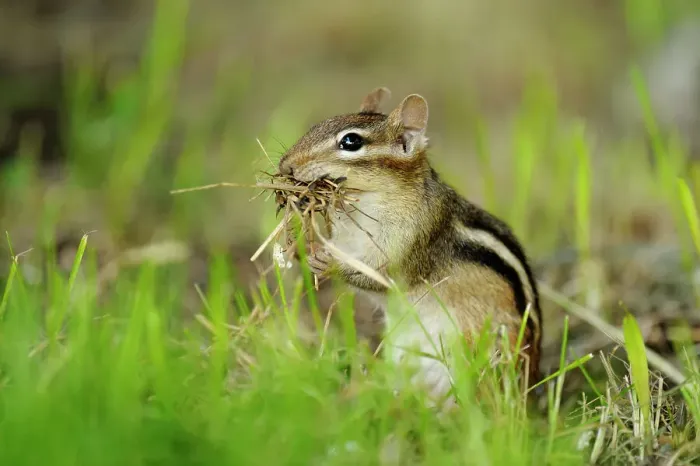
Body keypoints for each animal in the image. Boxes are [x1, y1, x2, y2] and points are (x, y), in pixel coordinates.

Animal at [277, 87, 542, 409]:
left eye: (351, 142)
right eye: (317, 125)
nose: (286, 165)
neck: (365, 207)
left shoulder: (414, 243)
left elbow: (381, 277)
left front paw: (330, 265)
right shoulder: (344, 239)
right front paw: (304, 249)